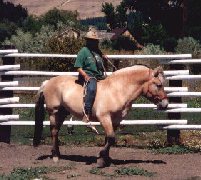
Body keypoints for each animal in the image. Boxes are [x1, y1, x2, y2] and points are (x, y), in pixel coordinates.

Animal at [33, 65, 168, 168]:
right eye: (159, 85)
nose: (165, 104)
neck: (117, 90)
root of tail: (48, 82)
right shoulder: (104, 117)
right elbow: (111, 138)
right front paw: (100, 159)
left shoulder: (115, 120)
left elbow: (108, 139)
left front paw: (105, 159)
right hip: (54, 113)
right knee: (54, 132)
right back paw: (55, 156)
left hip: (62, 113)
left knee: (56, 132)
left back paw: (58, 154)